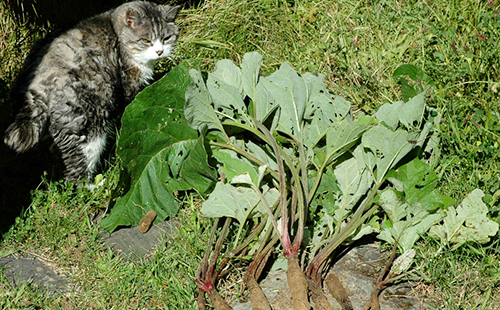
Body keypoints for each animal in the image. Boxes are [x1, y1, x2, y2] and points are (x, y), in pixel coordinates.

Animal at [3, 1, 181, 185]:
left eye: (166, 38)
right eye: (146, 40)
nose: (159, 52)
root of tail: (36, 87)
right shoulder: (128, 86)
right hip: (85, 125)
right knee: (76, 171)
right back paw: (94, 185)